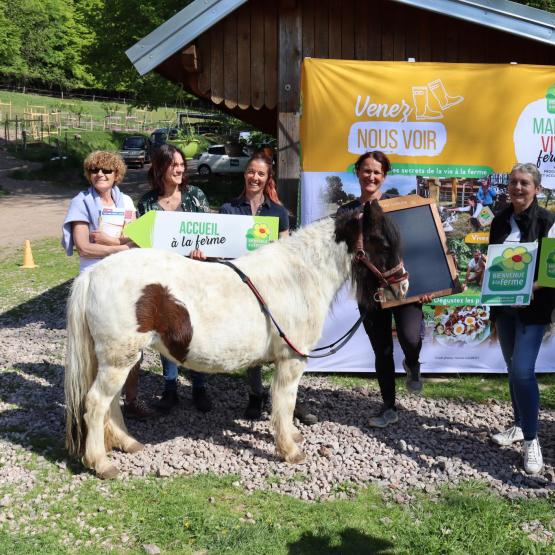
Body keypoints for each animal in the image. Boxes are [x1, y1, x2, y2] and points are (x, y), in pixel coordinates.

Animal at [65, 200, 406, 478]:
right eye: (381, 241)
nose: (402, 286)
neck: (297, 278)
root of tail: (93, 274)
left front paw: (292, 437)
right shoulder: (291, 361)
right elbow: (285, 402)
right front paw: (290, 449)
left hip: (117, 360)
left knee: (110, 404)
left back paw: (126, 444)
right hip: (118, 359)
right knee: (96, 403)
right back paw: (101, 463)